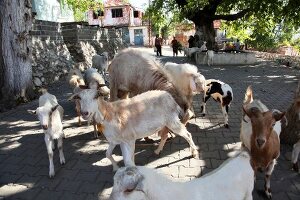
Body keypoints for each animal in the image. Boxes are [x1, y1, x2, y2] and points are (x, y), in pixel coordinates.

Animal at [69, 90, 198, 171]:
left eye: (95, 97)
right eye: (79, 98)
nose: (85, 113)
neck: (108, 114)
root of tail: (170, 97)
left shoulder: (129, 139)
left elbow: (128, 161)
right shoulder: (115, 141)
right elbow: (108, 154)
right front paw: (116, 168)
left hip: (172, 121)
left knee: (187, 134)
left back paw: (194, 153)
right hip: (164, 123)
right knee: (165, 136)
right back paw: (158, 150)